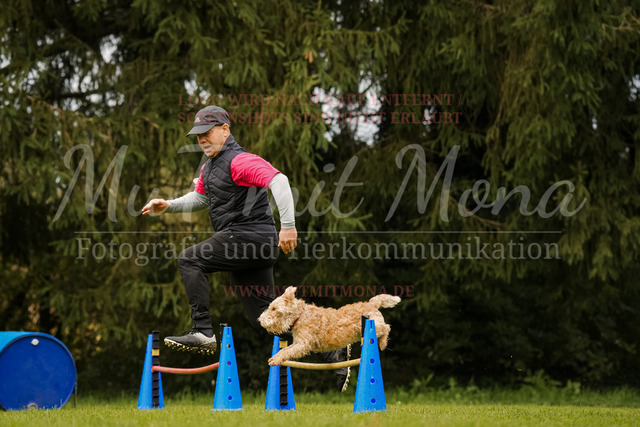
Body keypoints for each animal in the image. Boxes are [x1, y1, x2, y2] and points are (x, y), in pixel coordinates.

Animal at [258, 286, 401, 366]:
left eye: (274, 309)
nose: (260, 320)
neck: (300, 315)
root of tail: (372, 303)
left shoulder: (303, 344)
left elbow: (287, 351)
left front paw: (275, 360)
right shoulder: (298, 342)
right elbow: (285, 350)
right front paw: (274, 358)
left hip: (372, 326)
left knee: (387, 327)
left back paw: (382, 344)